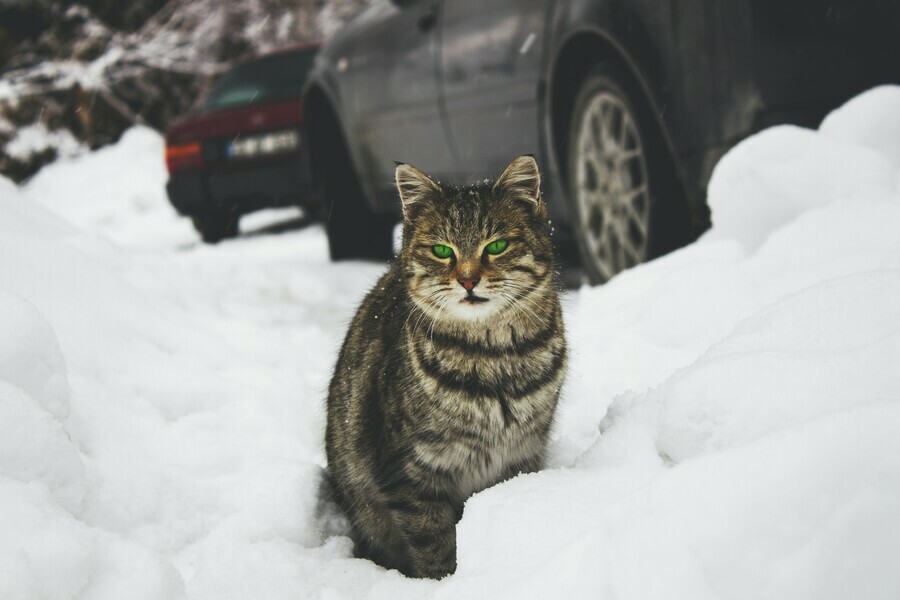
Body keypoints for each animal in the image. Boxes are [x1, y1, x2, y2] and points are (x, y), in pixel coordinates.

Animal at [324, 157, 568, 580]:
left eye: (496, 246)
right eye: (442, 251)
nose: (468, 279)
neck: (495, 358)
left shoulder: (522, 454)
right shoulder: (410, 473)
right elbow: (434, 544)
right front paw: (445, 582)